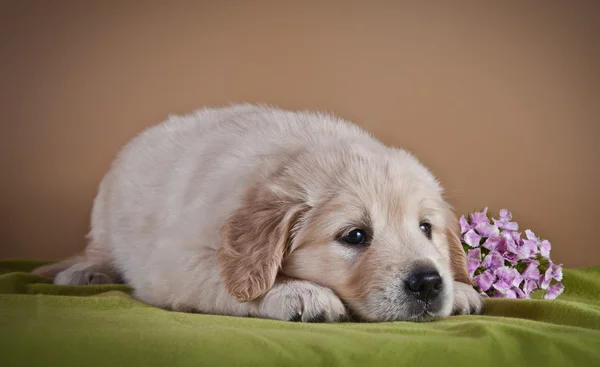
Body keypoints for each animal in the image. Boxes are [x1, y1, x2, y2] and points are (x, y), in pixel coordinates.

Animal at [31, 105, 482, 324]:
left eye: (426, 228)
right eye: (355, 236)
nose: (428, 283)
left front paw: (461, 290)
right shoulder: (174, 262)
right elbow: (231, 286)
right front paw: (299, 292)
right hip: (105, 215)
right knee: (97, 251)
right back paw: (85, 272)